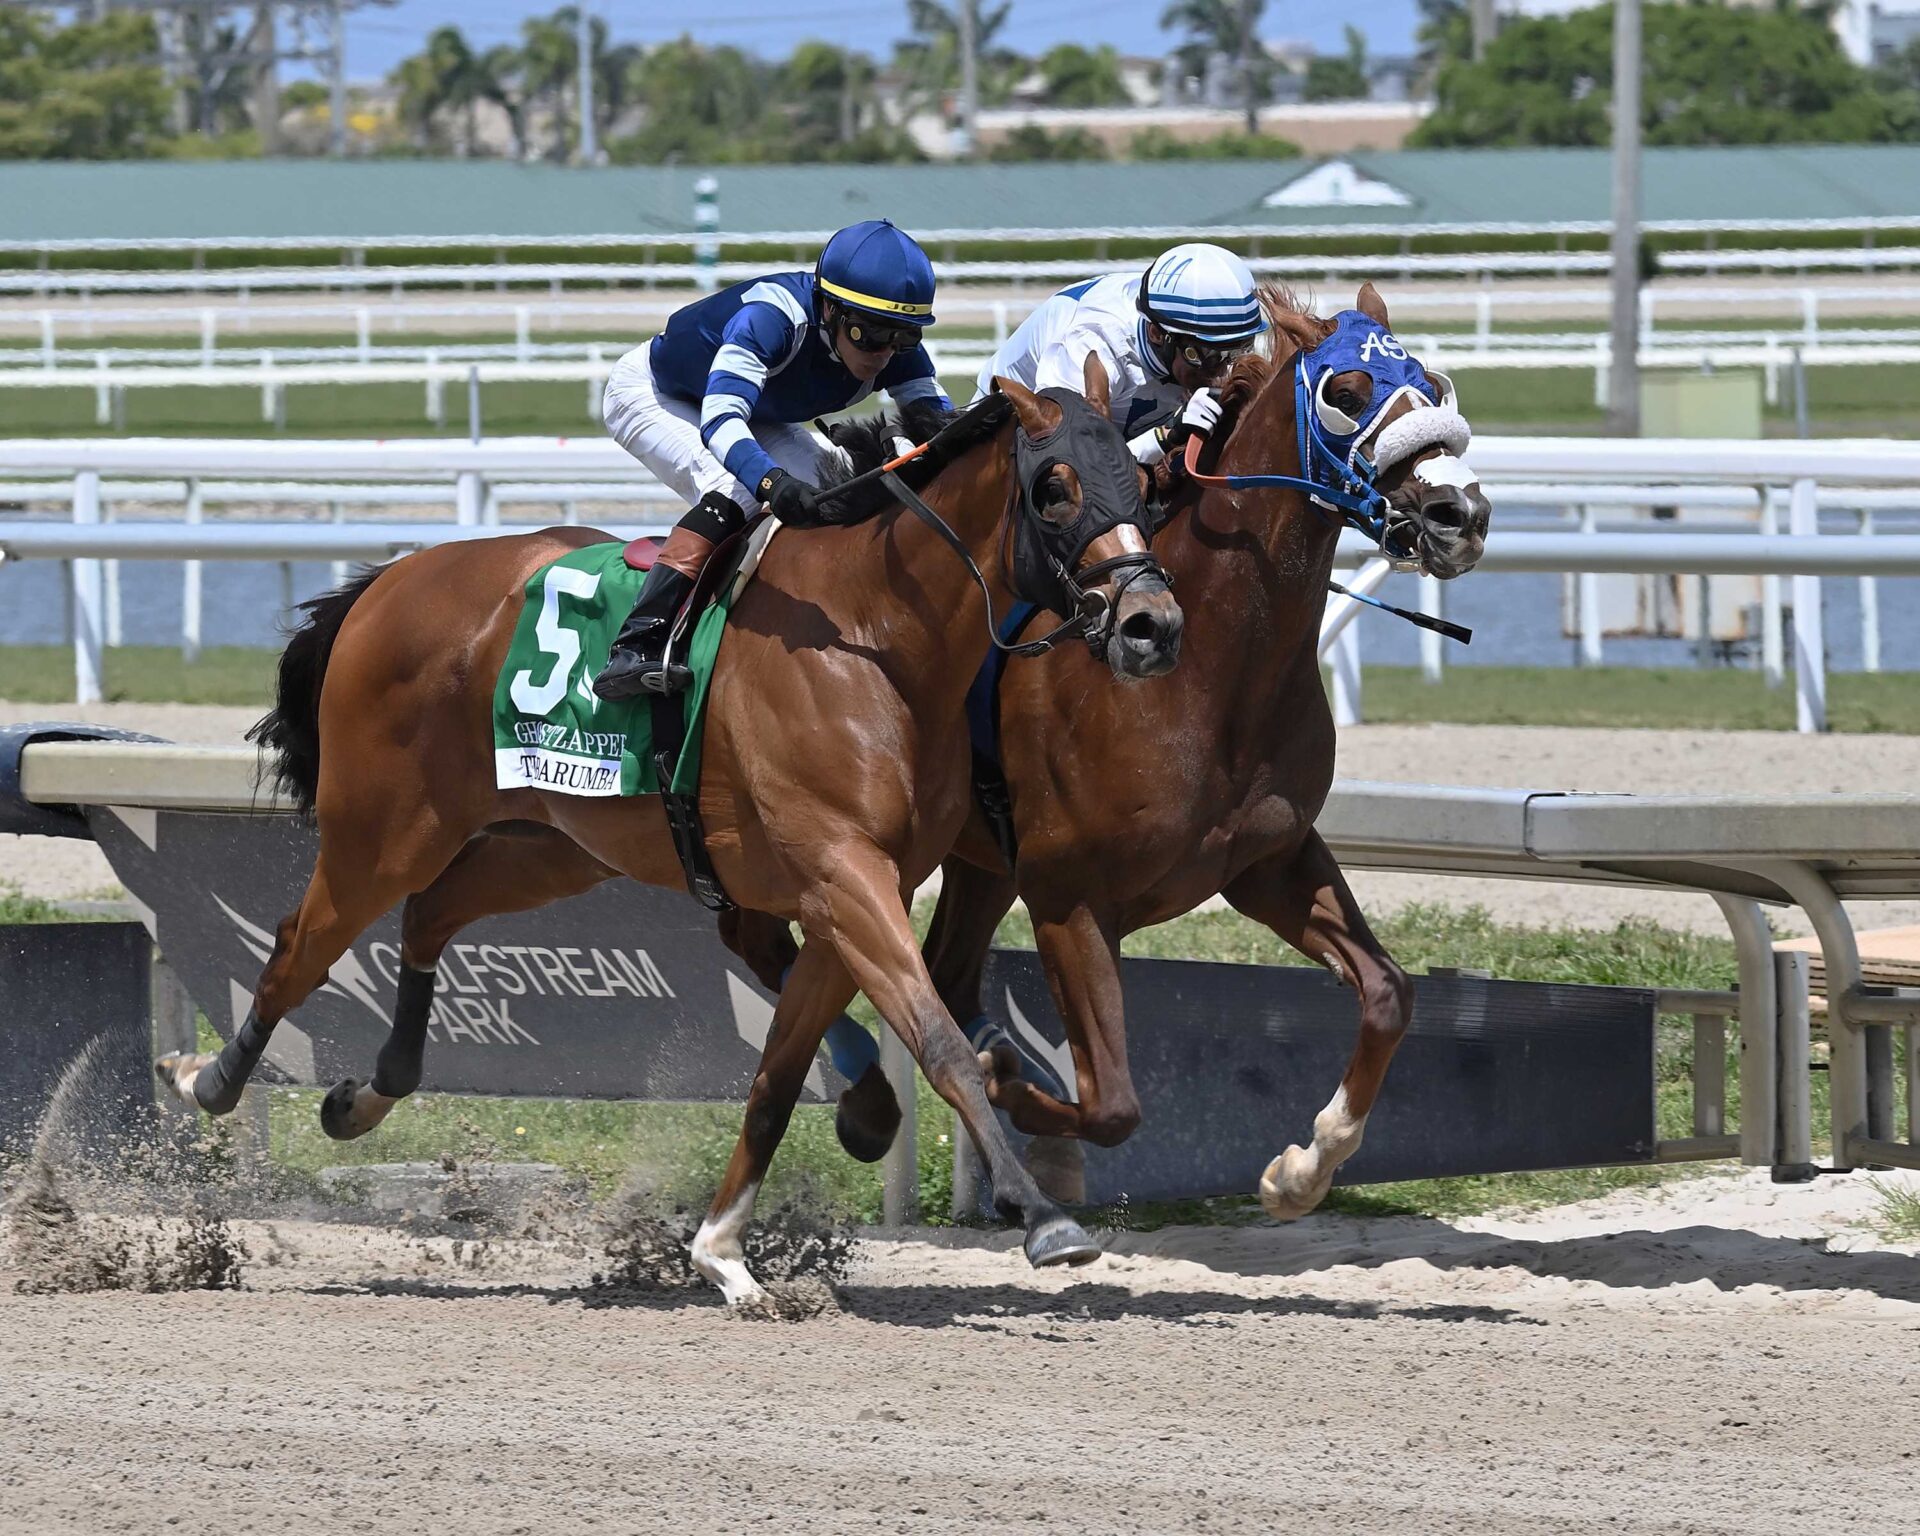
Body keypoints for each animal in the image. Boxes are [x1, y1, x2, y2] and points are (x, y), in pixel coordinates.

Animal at [156, 381, 1186, 1304]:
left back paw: (364, 1094)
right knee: (300, 945)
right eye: (1054, 488)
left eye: (1143, 483)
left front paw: (724, 1253)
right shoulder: (844, 876)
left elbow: (777, 1078)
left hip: (553, 843)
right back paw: (208, 1080)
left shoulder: (849, 894)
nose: (1153, 626)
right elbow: (940, 1043)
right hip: (383, 829)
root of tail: (391, 581)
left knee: (432, 912)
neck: (873, 642)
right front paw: (1043, 1218)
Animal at [840, 282, 1493, 1216]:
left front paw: (1302, 1170)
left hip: (982, 862)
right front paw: (1013, 1087)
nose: (1460, 514)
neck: (1210, 673)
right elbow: (1108, 1102)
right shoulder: (1069, 899)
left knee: (947, 974)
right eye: (1345, 392)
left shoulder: (1270, 861)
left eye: (1433, 385)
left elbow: (1388, 995)